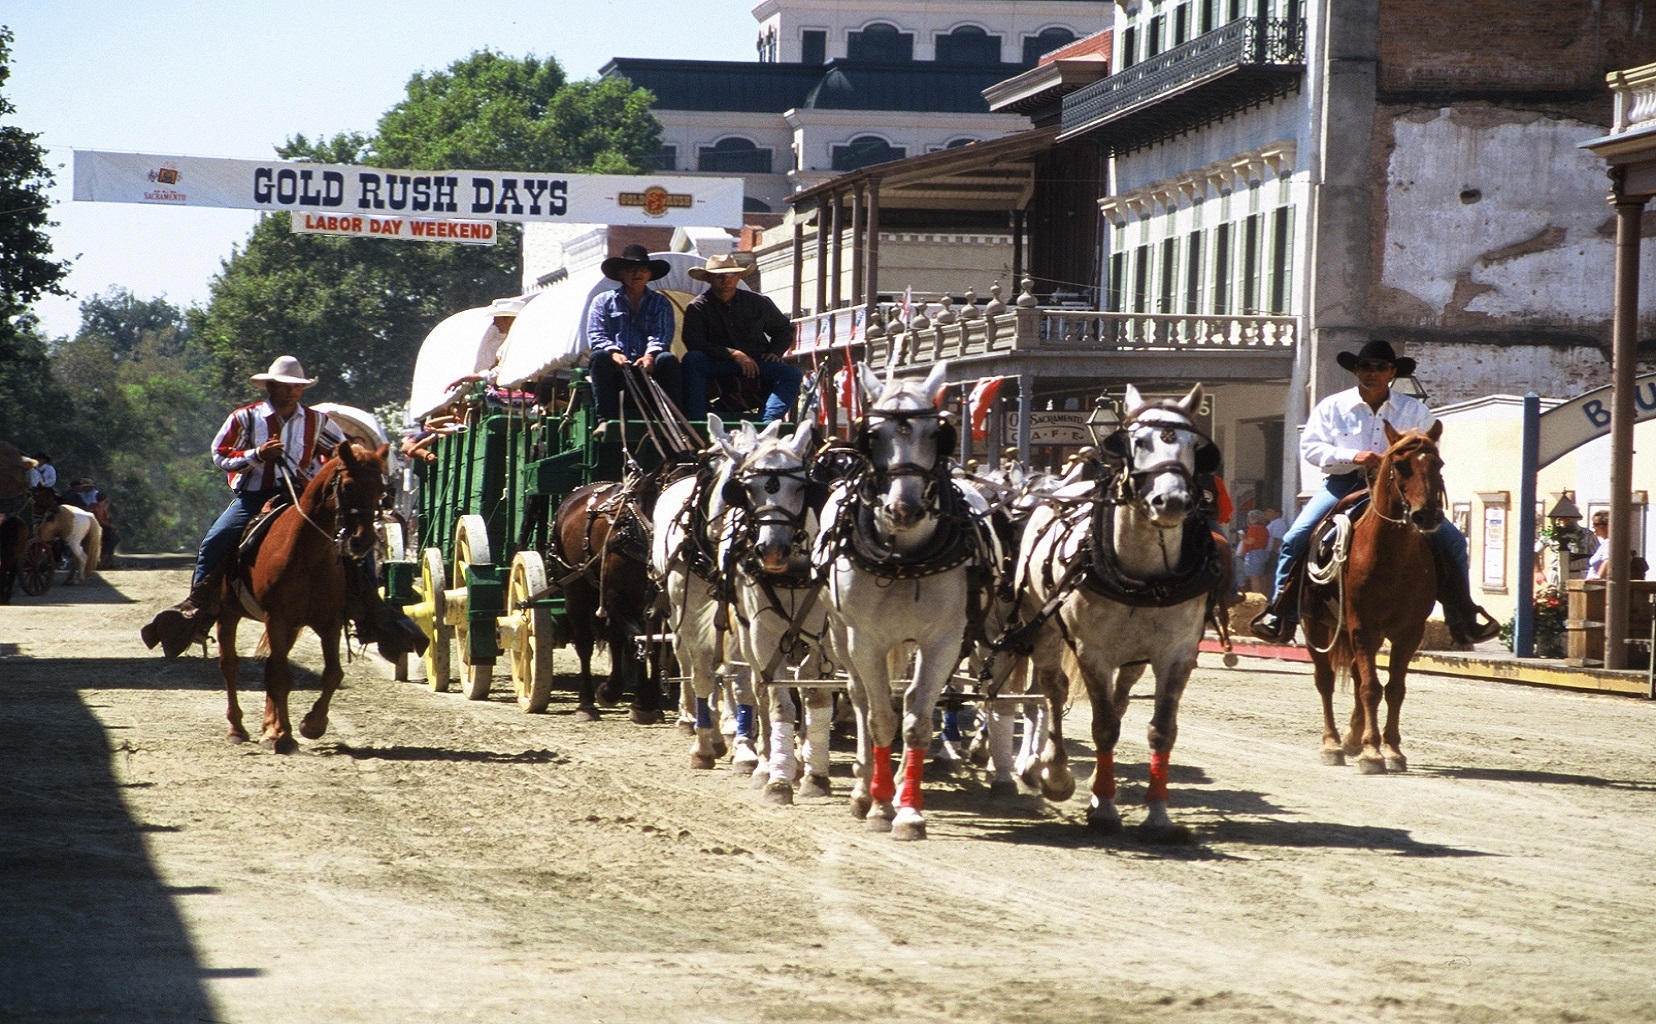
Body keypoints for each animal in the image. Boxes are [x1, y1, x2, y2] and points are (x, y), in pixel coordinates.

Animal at [216, 437, 387, 748]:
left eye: (381, 490)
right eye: (348, 486)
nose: (363, 541)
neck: (308, 554)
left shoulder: (328, 622)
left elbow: (331, 674)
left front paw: (311, 724)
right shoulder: (276, 617)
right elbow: (281, 676)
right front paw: (284, 736)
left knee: (271, 666)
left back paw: (268, 727)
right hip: (229, 612)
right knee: (230, 664)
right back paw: (237, 728)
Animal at [549, 477, 665, 722]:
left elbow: (656, 644)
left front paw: (650, 701)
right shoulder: (614, 594)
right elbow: (639, 640)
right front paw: (642, 701)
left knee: (615, 636)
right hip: (576, 590)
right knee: (585, 643)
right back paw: (586, 703)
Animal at [814, 361, 993, 838]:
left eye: (937, 434)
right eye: (873, 435)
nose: (903, 509)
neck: (905, 557)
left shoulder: (944, 640)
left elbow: (915, 722)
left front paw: (908, 809)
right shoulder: (865, 640)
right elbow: (880, 717)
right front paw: (877, 805)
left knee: (905, 701)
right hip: (842, 636)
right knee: (860, 698)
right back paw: (864, 788)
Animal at [1013, 382, 1225, 838]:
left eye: (1194, 446)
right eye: (1138, 441)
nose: (1171, 501)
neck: (1146, 577)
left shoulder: (1177, 653)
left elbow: (1161, 731)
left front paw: (1158, 814)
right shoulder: (1092, 651)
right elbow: (1104, 727)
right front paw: (1105, 808)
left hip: (1134, 657)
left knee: (1120, 697)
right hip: (1043, 628)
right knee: (1051, 690)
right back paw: (1053, 771)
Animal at [1298, 419, 1444, 768]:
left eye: (1439, 464)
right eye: (1401, 464)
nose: (1427, 515)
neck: (1390, 558)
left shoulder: (1409, 632)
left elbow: (1394, 689)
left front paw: (1391, 748)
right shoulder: (1362, 627)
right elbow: (1370, 689)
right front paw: (1372, 752)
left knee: (1354, 675)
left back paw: (1351, 738)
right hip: (1316, 624)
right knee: (1325, 680)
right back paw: (1332, 744)